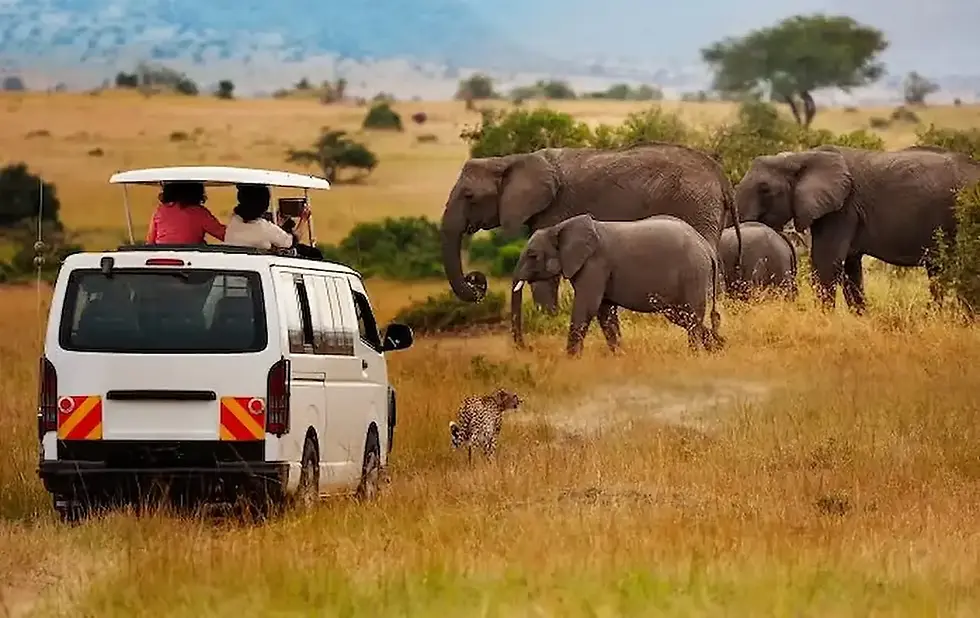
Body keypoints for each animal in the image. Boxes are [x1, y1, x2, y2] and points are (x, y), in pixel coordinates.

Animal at [511, 214, 724, 357]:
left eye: (533, 256)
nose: (527, 347)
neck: (558, 228)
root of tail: (706, 246)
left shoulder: (595, 264)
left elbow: (587, 307)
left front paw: (570, 360)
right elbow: (604, 311)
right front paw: (619, 356)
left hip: (693, 273)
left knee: (691, 316)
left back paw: (696, 354)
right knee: (682, 316)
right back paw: (718, 348)